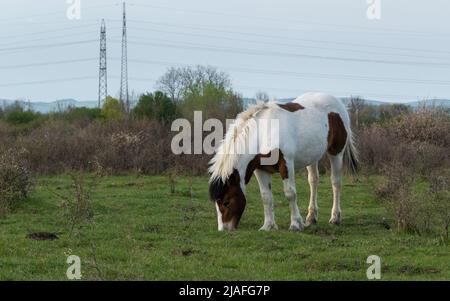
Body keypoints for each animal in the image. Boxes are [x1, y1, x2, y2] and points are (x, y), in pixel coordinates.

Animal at [207, 91, 358, 230]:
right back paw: (311, 217)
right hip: (312, 156)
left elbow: (290, 193)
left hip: (336, 153)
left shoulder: (286, 164)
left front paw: (296, 224)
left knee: (336, 183)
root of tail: (338, 103)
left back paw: (335, 217)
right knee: (313, 181)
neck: (264, 133)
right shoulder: (260, 169)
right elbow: (266, 196)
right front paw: (268, 226)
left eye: (226, 202)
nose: (224, 229)